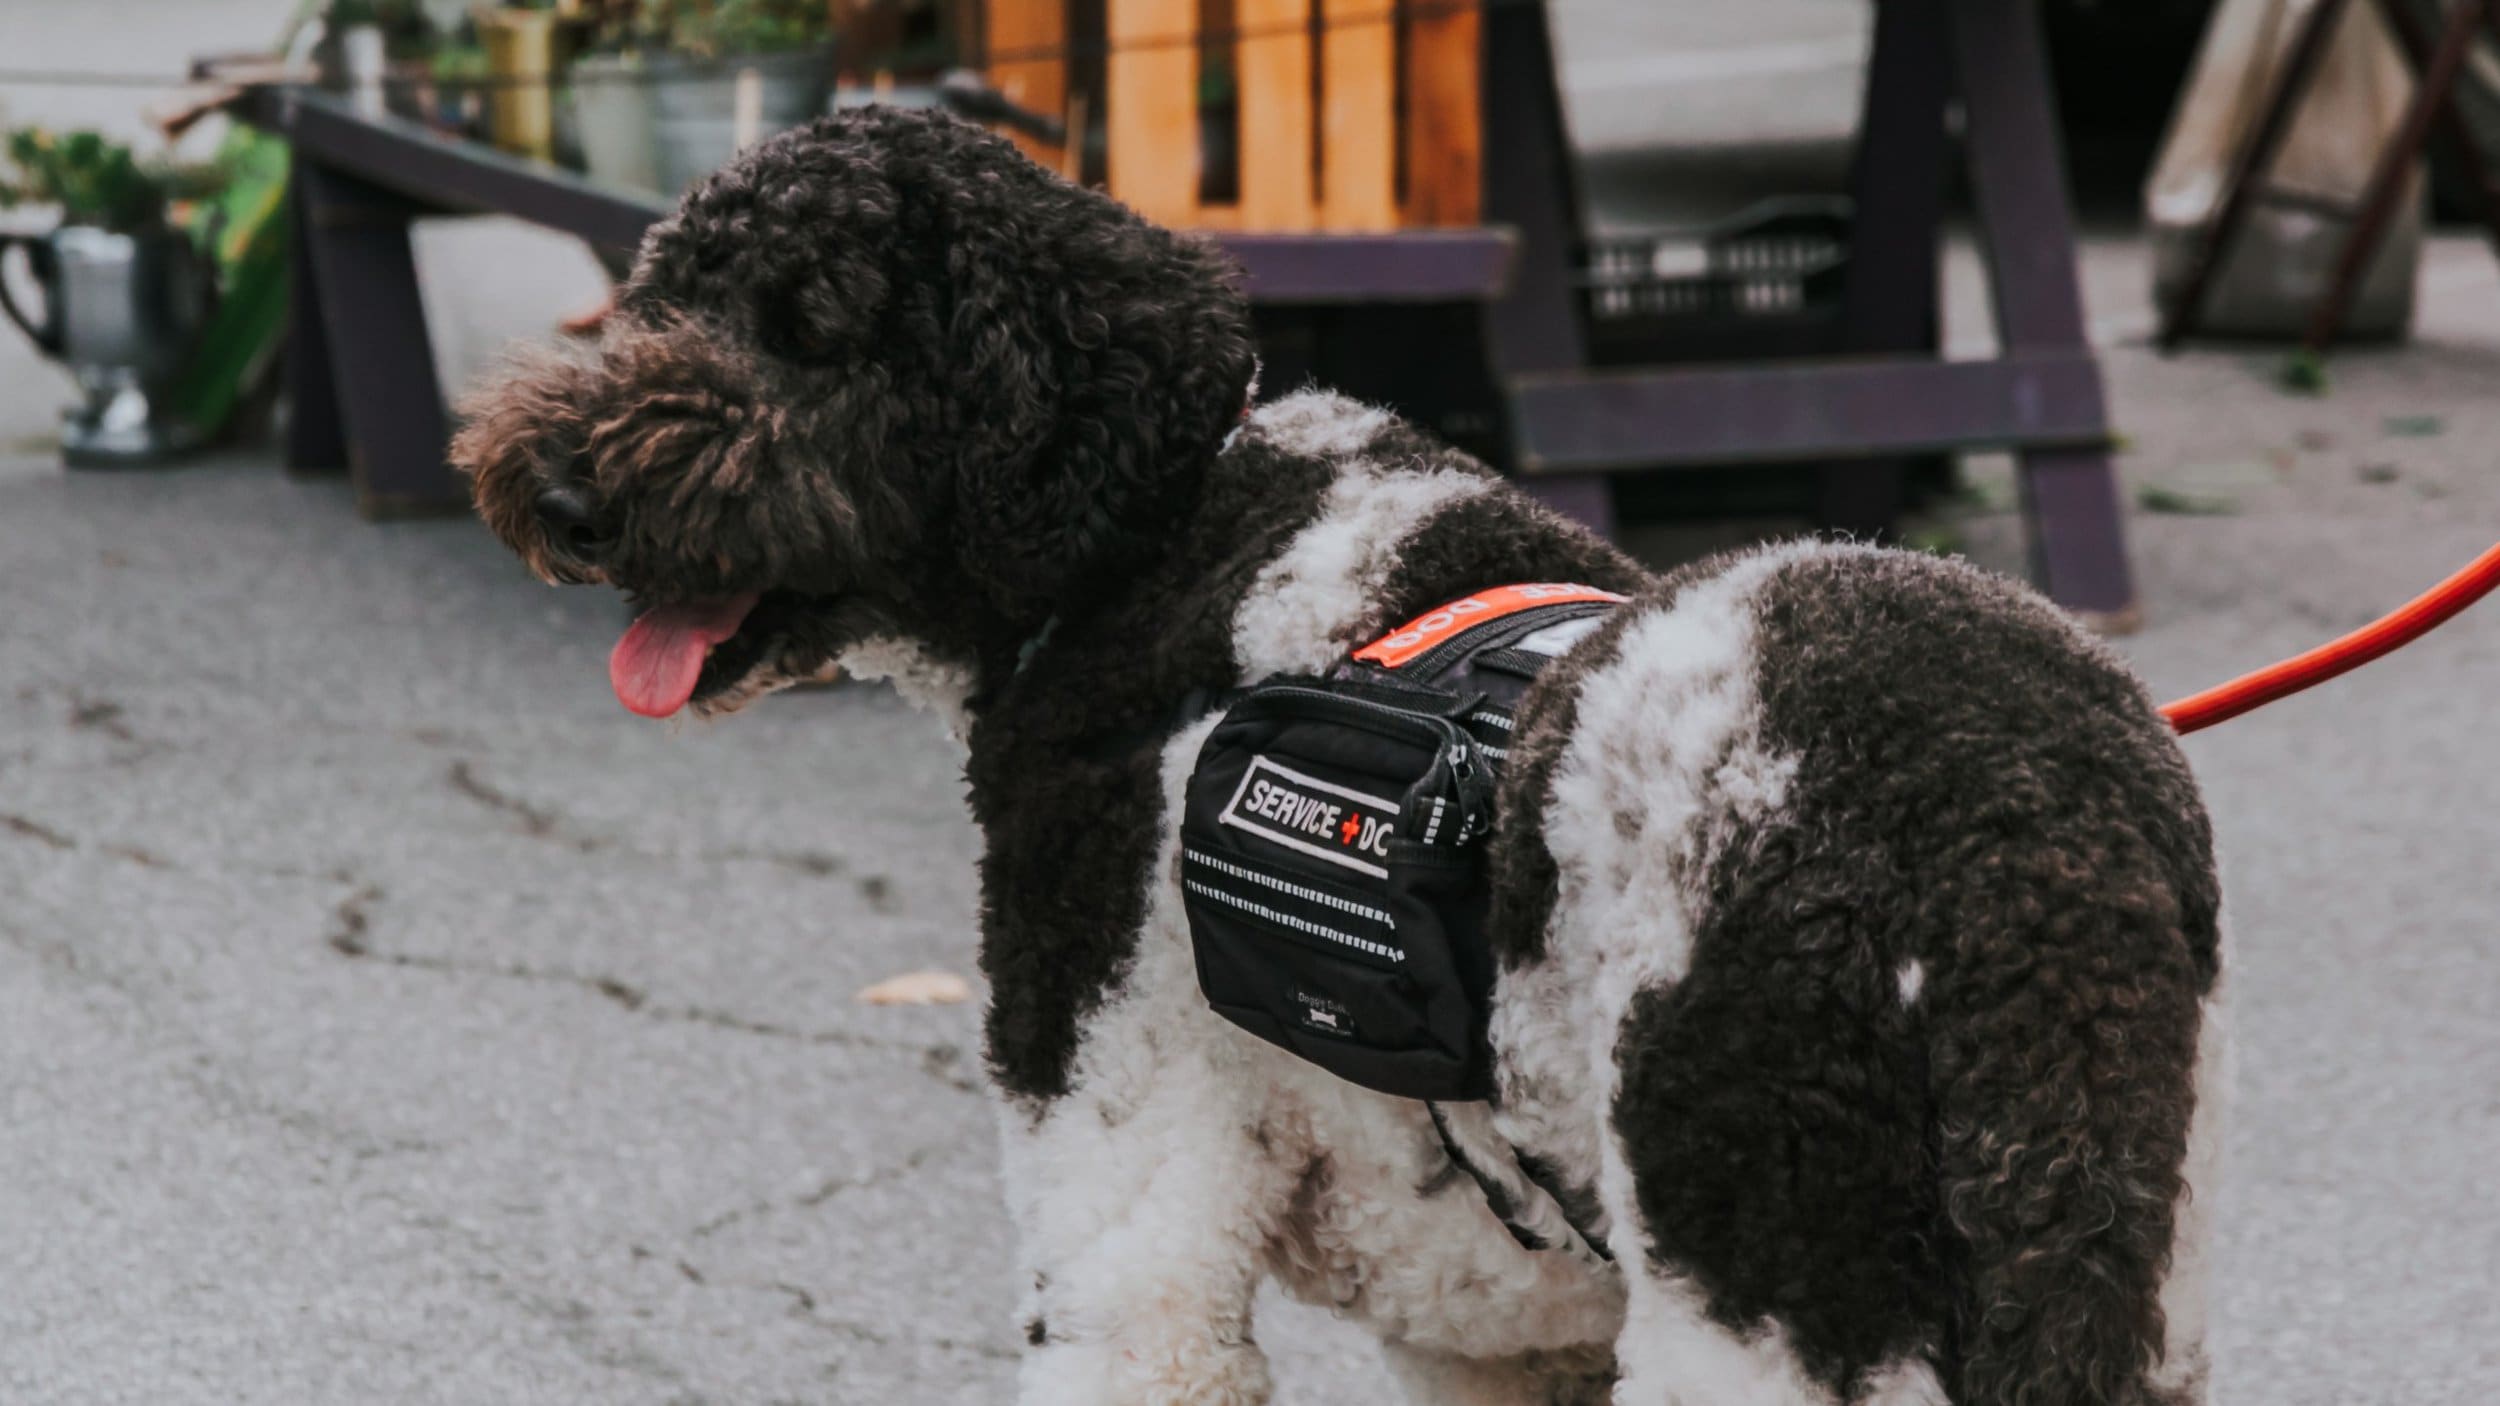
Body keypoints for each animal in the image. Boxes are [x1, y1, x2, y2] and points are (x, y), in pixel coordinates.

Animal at [460, 109, 2240, 1400]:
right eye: (664, 293)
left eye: (810, 330)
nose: (558, 494)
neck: (1159, 532)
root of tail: (2025, 841)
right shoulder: (1494, 1332)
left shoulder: (1131, 1240)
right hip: (2108, 1279)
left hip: (1776, 1293)